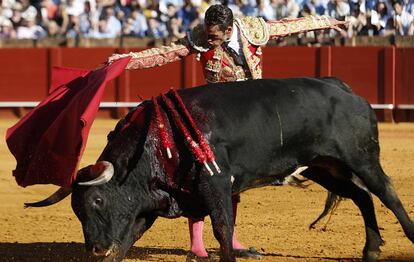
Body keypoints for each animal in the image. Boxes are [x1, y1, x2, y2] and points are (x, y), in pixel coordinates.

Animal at [27, 78, 412, 262]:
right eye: (76, 210)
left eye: (97, 202)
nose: (93, 248)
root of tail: (345, 89)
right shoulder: (150, 201)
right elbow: (124, 242)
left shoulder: (217, 184)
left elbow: (223, 228)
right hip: (323, 166)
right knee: (361, 196)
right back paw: (371, 250)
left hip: (361, 158)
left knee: (387, 193)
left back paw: (405, 235)